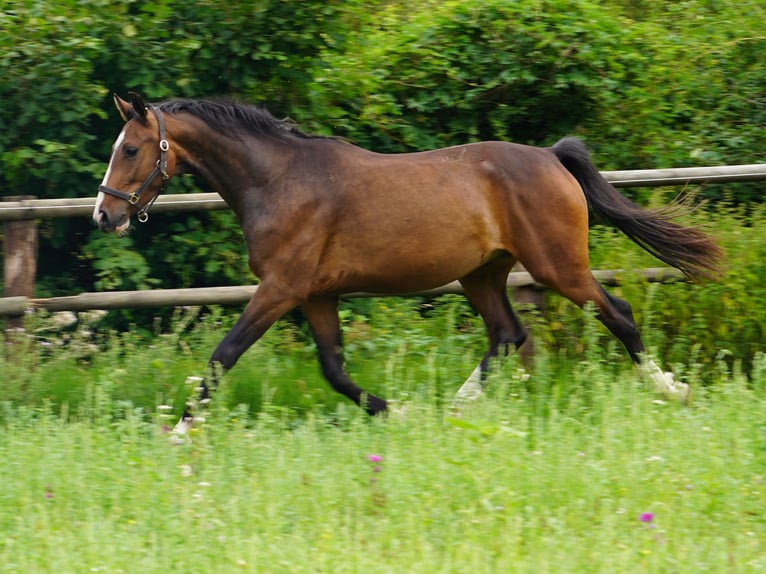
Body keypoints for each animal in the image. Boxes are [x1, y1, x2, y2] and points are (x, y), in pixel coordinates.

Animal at [96, 94, 728, 426]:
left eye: (131, 149)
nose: (105, 214)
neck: (278, 181)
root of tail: (552, 157)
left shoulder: (280, 289)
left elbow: (221, 358)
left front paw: (179, 433)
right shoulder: (317, 294)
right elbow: (333, 369)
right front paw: (396, 412)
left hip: (557, 267)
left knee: (616, 313)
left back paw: (673, 390)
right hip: (482, 273)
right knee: (508, 334)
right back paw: (455, 409)